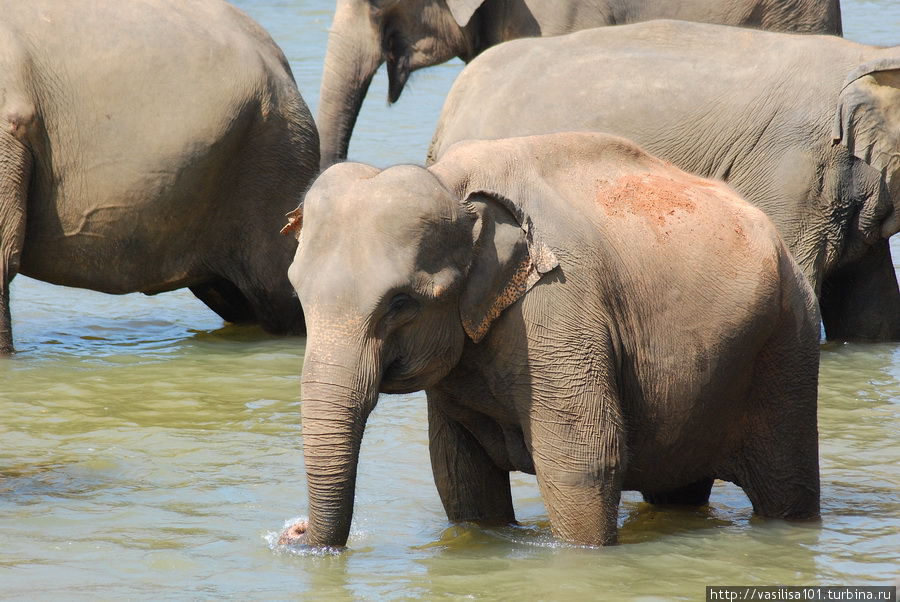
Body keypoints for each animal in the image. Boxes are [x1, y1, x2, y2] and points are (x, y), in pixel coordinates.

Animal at [282, 132, 824, 548]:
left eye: (400, 303)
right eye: (298, 294)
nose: (295, 531)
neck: (451, 182)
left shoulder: (559, 310)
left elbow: (584, 460)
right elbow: (458, 474)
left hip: (789, 340)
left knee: (785, 487)